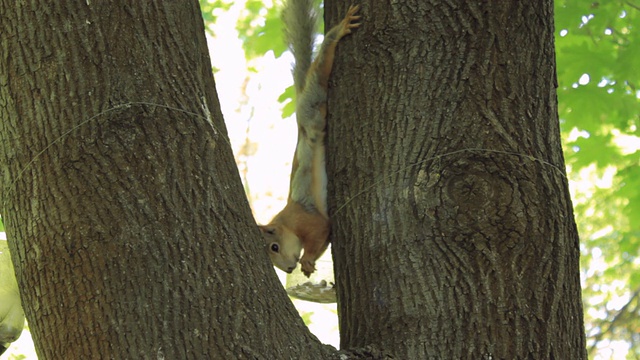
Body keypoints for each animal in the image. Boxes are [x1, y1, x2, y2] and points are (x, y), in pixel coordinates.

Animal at [258, 2, 360, 276]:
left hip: (310, 107)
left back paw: (337, 32)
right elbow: (326, 238)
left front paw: (306, 259)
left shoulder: (307, 219)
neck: (285, 221)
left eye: (274, 247)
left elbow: (321, 229)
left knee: (319, 74)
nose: (287, 269)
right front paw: (307, 265)